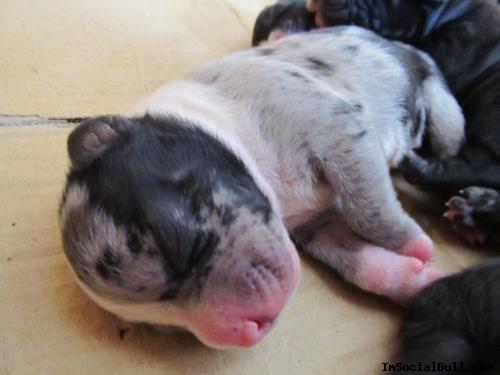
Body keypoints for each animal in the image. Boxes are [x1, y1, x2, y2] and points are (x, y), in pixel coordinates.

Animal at [57, 25, 460, 350]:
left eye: (180, 247)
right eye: (167, 328)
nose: (249, 332)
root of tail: (399, 44)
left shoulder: (337, 128)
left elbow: (368, 208)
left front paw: (414, 243)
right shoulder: (317, 226)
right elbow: (361, 264)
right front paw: (418, 281)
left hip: (443, 111)